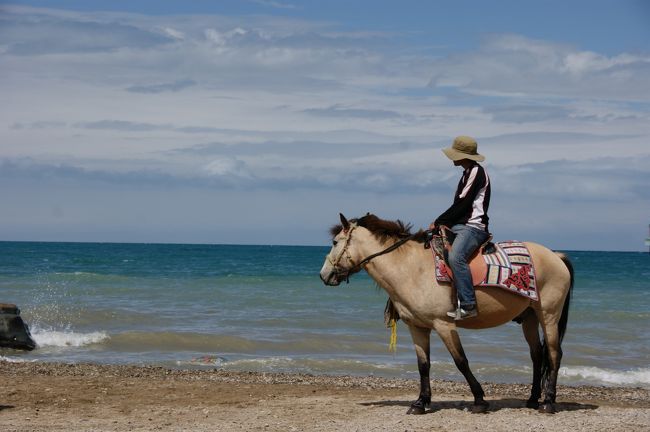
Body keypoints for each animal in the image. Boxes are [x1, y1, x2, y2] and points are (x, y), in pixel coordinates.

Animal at [318, 214, 572, 414]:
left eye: (335, 241)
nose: (324, 275)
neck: (411, 268)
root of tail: (555, 256)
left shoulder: (444, 325)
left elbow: (461, 361)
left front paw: (479, 400)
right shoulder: (417, 327)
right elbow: (423, 365)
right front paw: (420, 403)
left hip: (548, 315)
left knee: (554, 354)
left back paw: (548, 402)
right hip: (529, 317)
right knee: (537, 355)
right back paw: (532, 399)